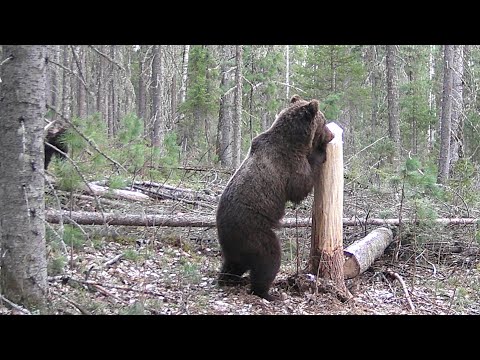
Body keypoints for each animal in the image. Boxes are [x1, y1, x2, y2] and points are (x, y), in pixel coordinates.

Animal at [217, 95, 334, 300]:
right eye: (324, 121)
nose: (332, 135)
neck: (295, 142)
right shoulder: (288, 165)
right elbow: (300, 187)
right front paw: (319, 153)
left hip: (236, 244)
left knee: (233, 264)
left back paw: (229, 279)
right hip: (255, 232)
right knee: (268, 259)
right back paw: (266, 292)